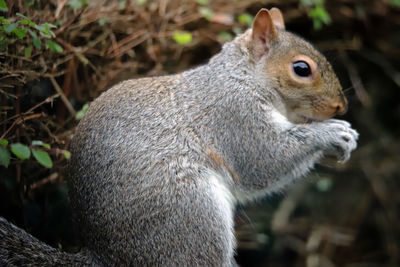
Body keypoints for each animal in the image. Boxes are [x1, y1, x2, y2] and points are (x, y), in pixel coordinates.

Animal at [0, 7, 358, 267]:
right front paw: (334, 133)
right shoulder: (232, 114)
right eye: (301, 69)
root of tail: (105, 257)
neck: (242, 76)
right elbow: (264, 159)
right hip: (189, 215)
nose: (341, 105)